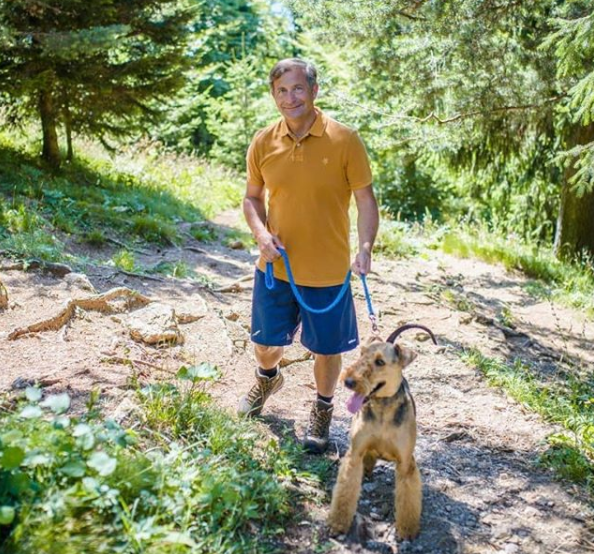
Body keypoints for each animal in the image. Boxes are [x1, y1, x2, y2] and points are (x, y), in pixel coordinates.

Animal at [326, 322, 432, 536]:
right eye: (361, 353)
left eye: (380, 362)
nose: (349, 381)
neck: (382, 407)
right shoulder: (355, 454)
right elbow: (345, 492)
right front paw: (338, 523)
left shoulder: (406, 463)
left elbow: (408, 499)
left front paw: (407, 530)